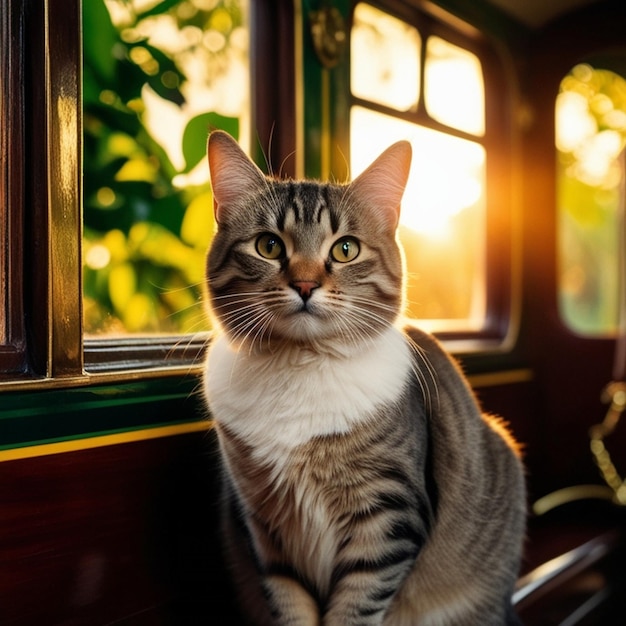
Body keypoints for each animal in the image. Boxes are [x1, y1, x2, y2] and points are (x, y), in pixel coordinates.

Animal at [202, 129, 524, 620]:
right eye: (268, 246)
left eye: (346, 249)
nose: (305, 285)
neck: (301, 366)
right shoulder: (266, 529)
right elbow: (289, 604)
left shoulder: (388, 516)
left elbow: (355, 607)